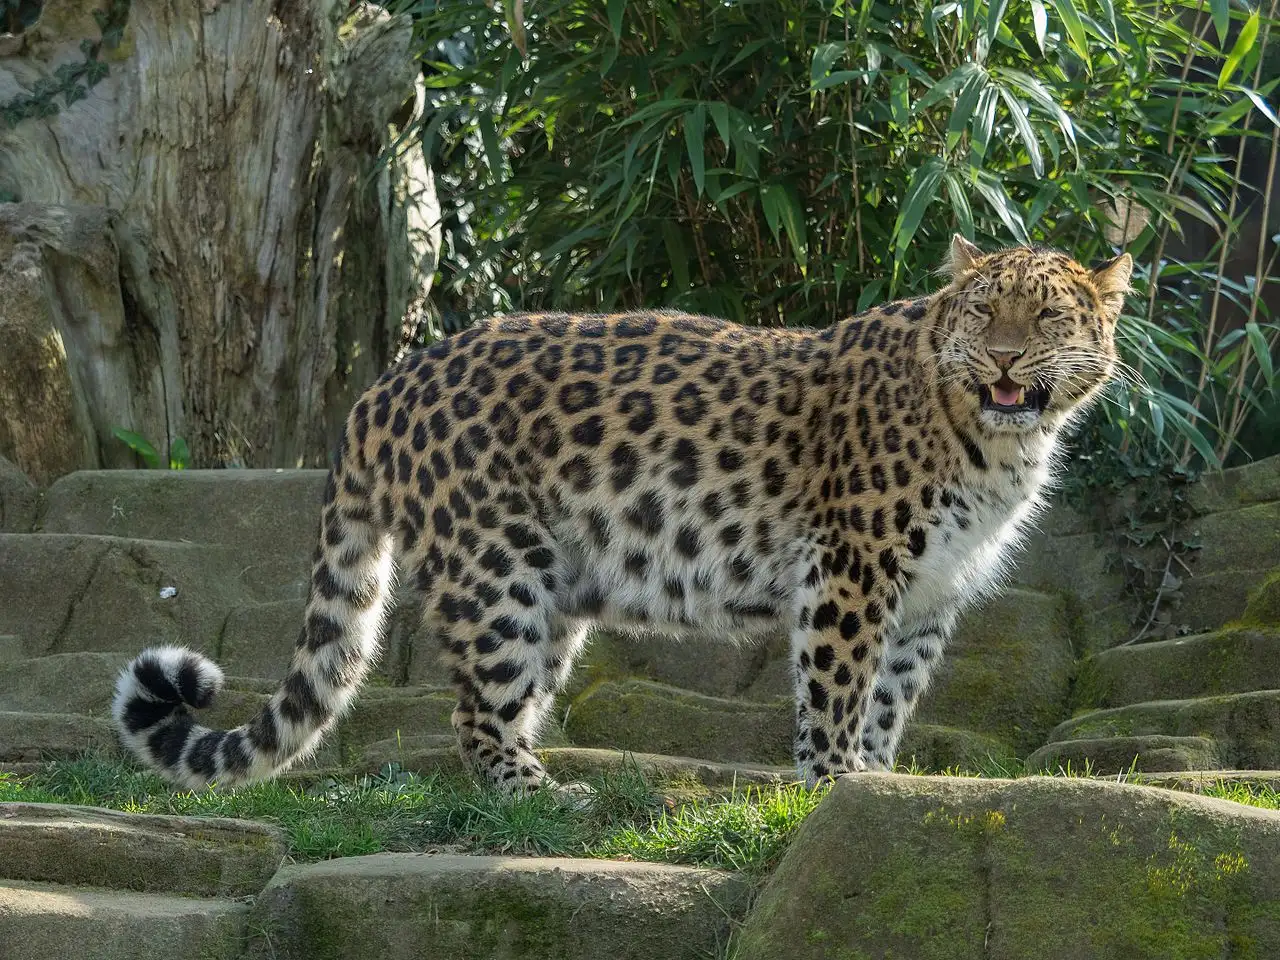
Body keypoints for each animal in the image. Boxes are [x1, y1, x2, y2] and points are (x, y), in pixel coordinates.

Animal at [110, 236, 1131, 793]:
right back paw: (541, 798)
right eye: (984, 312)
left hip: (555, 585)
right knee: (475, 714)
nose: (1004, 362)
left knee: (510, 700)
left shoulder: (928, 591)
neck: (998, 443)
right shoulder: (852, 566)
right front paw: (835, 782)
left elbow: (892, 693)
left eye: (1046, 320)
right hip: (495, 569)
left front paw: (875, 784)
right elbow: (839, 687)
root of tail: (383, 387)